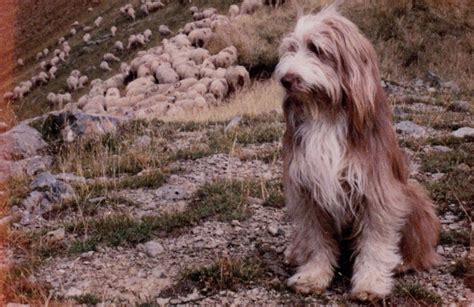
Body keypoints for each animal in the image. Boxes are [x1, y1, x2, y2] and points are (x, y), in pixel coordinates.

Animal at [274, 6, 440, 302]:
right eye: (290, 49)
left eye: (316, 49)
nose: (286, 80)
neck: (325, 114)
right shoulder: (307, 192)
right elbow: (316, 240)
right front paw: (313, 276)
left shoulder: (377, 190)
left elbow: (375, 241)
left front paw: (371, 283)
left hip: (414, 195)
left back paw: (404, 262)